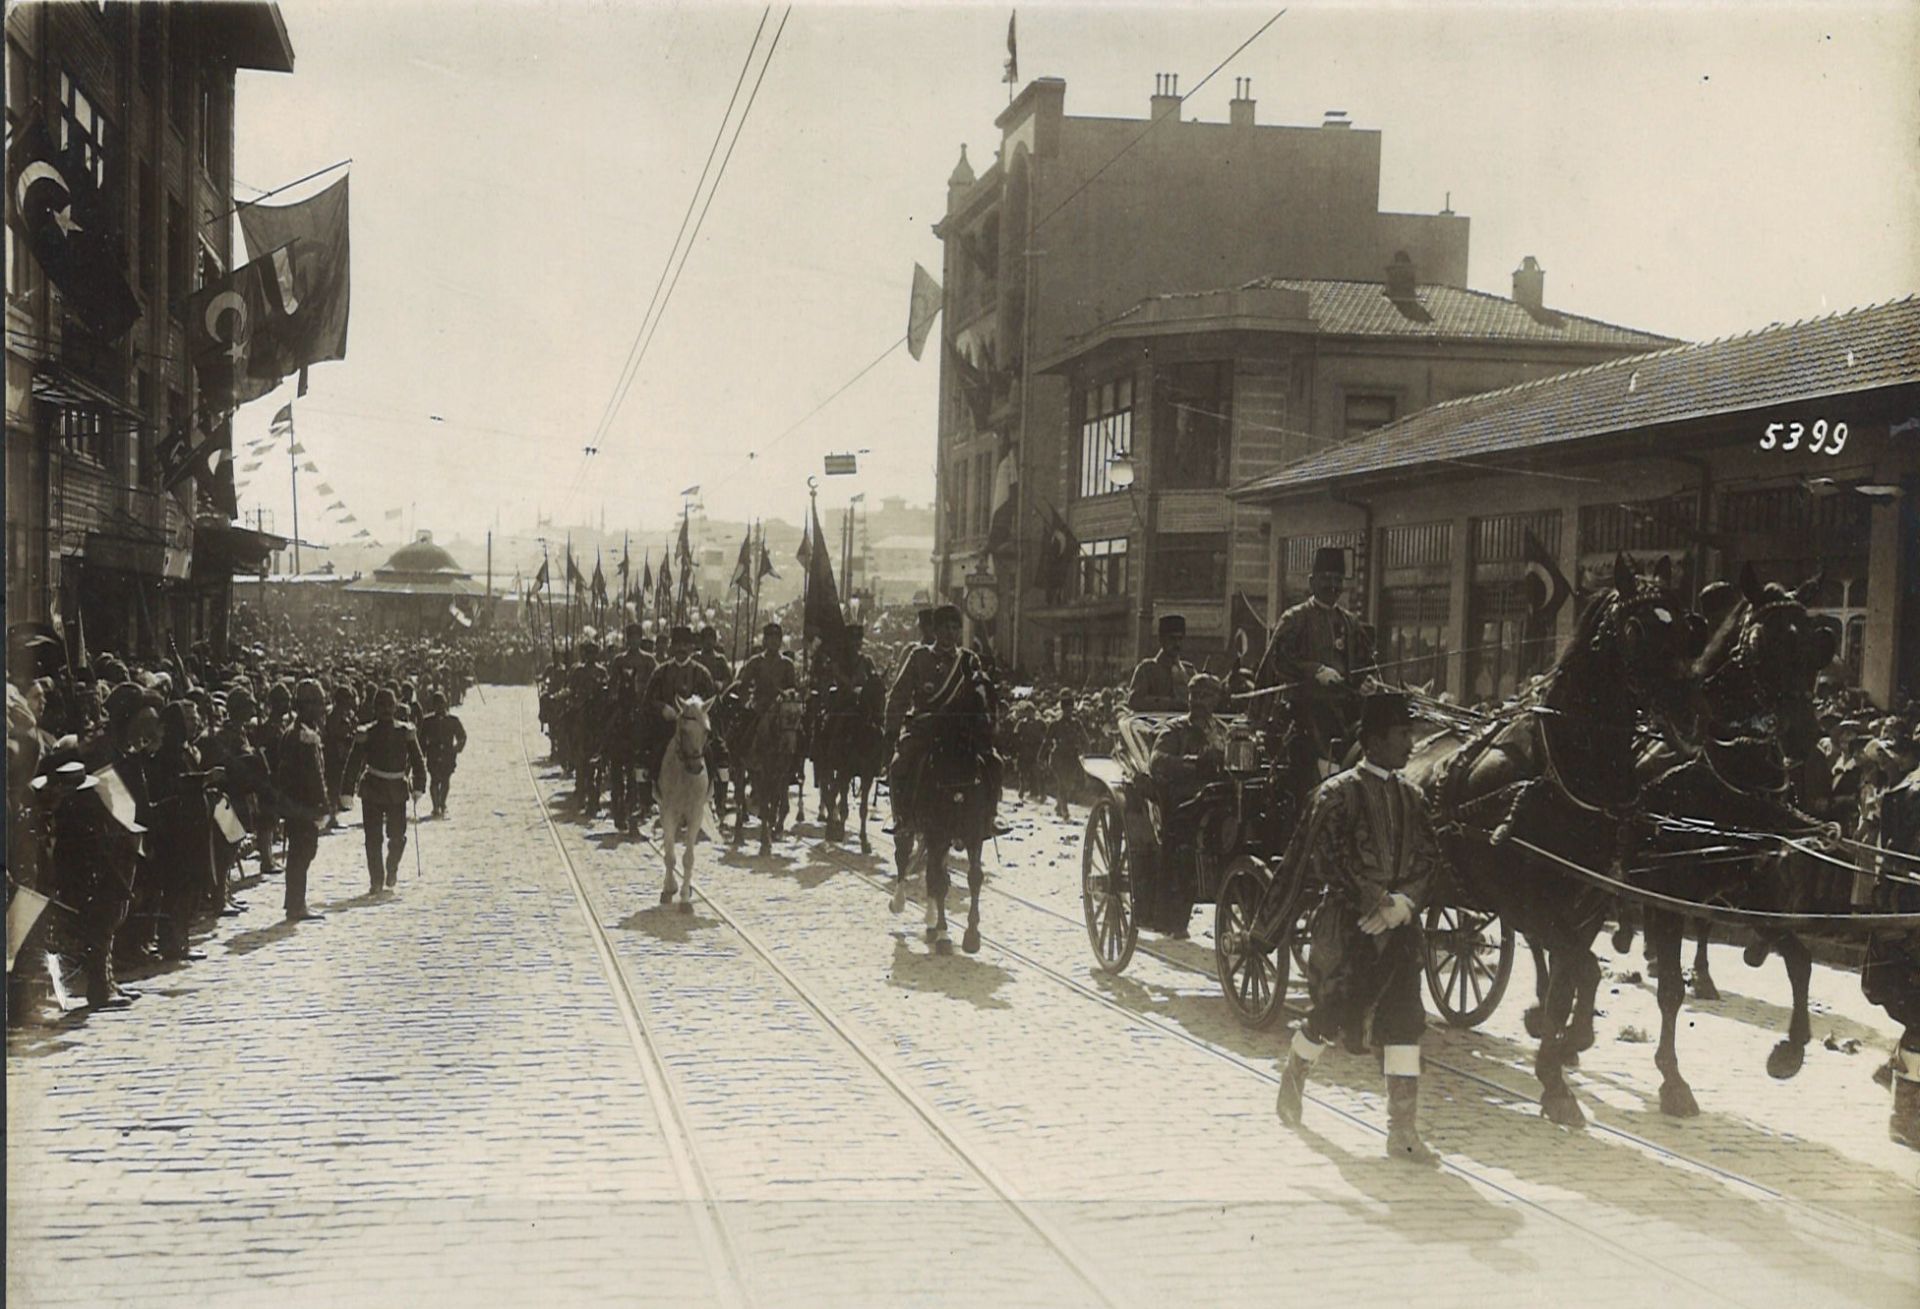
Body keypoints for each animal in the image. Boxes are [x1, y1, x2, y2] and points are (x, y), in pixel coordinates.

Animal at [664, 694, 718, 905]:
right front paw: (670, 887)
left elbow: (688, 858)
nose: (696, 767)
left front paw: (686, 893)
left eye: (707, 731)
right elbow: (670, 855)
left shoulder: (696, 814)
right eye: (683, 730)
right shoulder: (668, 812)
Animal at [887, 664, 998, 948]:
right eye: (971, 696)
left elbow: (973, 877)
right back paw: (900, 901)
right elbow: (938, 881)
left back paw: (930, 920)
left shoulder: (972, 834)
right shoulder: (937, 833)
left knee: (933, 870)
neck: (957, 773)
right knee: (904, 855)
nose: (989, 732)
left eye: (993, 692)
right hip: (909, 824)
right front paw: (943, 932)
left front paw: (971, 935)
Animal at [1405, 548, 1704, 1120]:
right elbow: (1580, 970)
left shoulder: (1587, 900)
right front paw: (1557, 1065)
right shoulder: (1526, 898)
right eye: (1636, 628)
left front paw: (1563, 1053)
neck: (1560, 766)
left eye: (1685, 626)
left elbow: (1578, 973)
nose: (1689, 712)